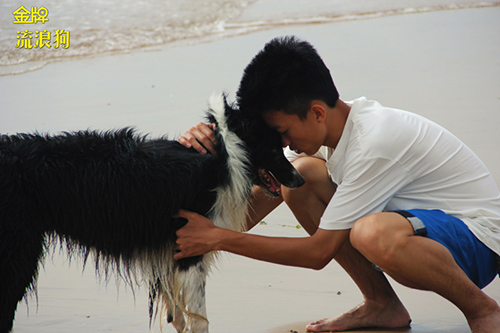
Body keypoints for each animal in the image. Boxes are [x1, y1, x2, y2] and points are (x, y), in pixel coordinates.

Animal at [0, 94, 304, 332]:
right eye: (274, 149)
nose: (300, 180)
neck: (226, 153)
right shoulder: (190, 249)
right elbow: (199, 319)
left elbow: (177, 313)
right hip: (18, 255)